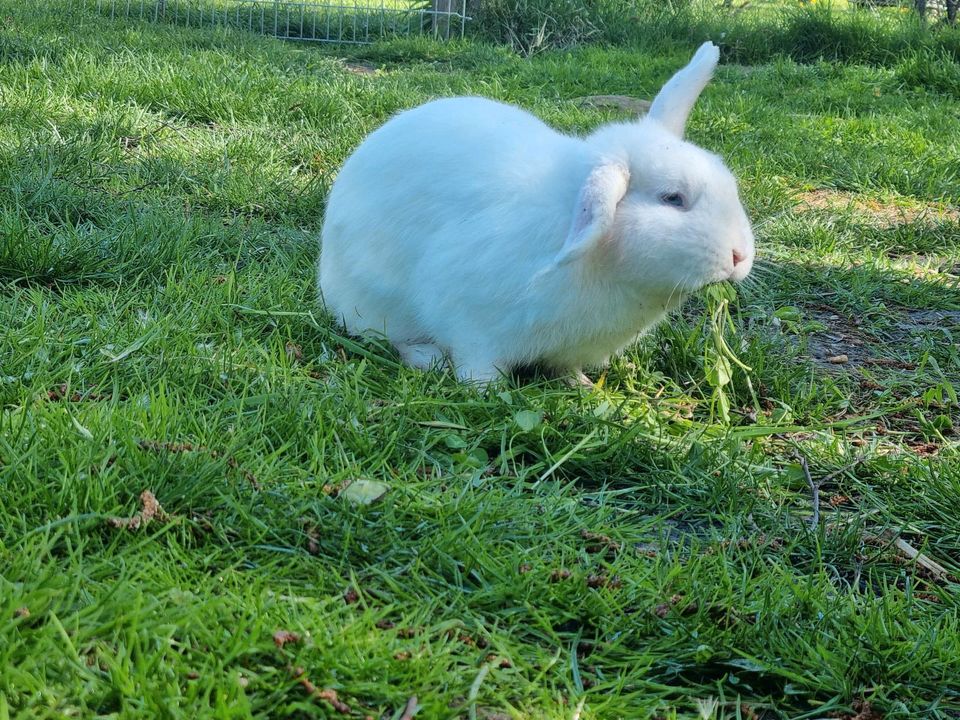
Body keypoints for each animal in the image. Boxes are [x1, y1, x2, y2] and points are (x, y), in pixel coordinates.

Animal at [318, 41, 752, 386]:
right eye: (673, 198)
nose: (739, 257)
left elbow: (566, 368)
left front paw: (582, 387)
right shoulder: (472, 323)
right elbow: (477, 365)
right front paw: (489, 392)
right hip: (374, 306)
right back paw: (429, 359)